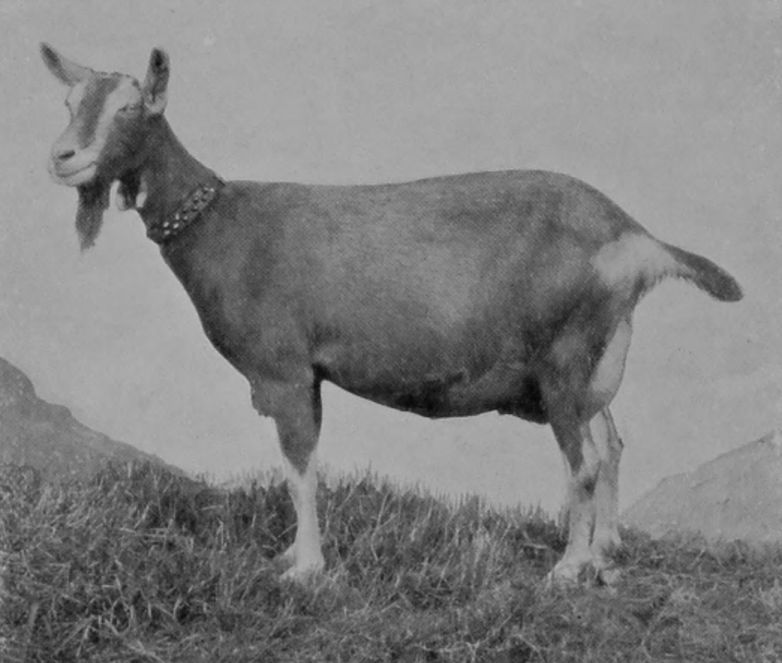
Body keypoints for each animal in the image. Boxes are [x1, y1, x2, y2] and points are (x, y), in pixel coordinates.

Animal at [41, 44, 742, 585]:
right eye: (70, 103)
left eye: (131, 106)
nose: (63, 158)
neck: (225, 224)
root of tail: (634, 236)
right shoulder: (309, 377)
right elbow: (299, 467)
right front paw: (291, 555)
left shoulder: (285, 372)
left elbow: (301, 468)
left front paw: (307, 570)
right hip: (595, 359)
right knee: (612, 443)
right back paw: (603, 554)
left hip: (565, 359)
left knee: (586, 461)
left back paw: (569, 569)